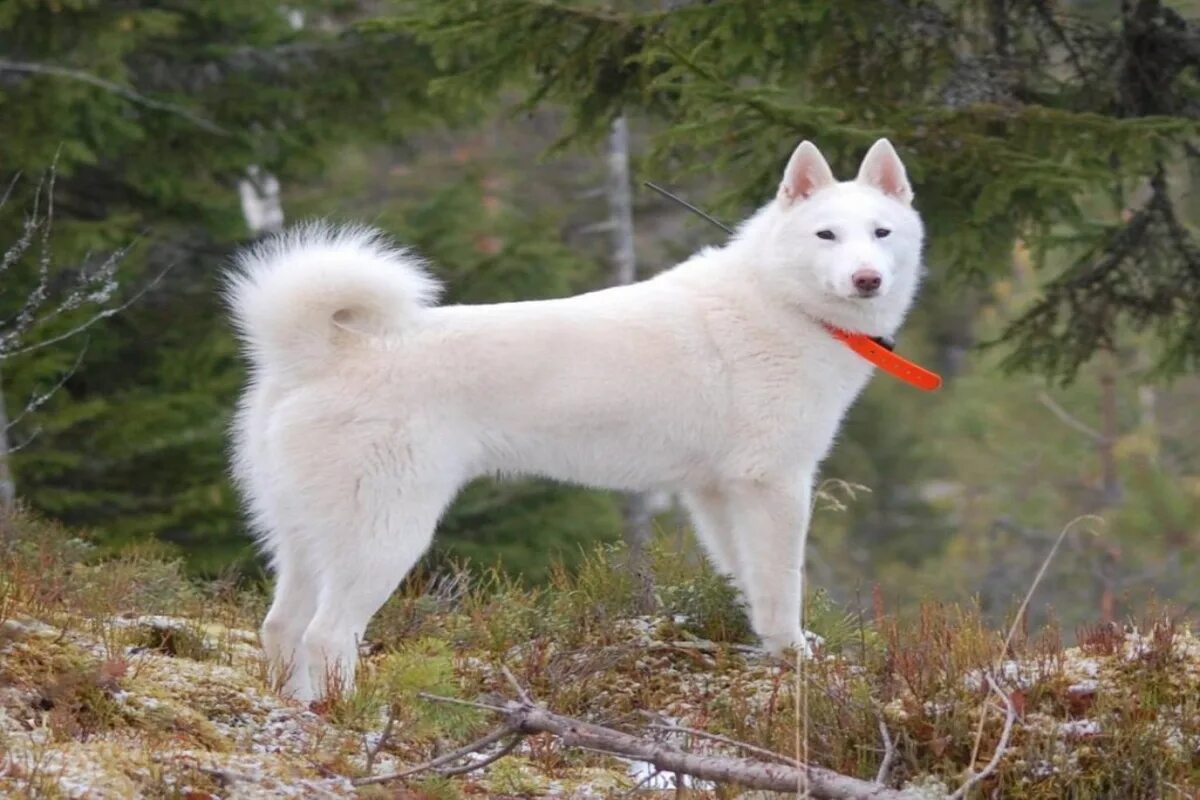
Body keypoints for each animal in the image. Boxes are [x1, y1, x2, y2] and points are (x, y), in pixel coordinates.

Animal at [229, 137, 931, 700]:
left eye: (881, 233)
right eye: (826, 235)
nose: (866, 279)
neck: (781, 303)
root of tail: (320, 353)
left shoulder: (717, 494)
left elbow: (748, 582)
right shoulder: (776, 485)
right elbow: (783, 587)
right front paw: (799, 660)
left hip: (304, 539)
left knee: (281, 628)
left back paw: (301, 712)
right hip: (385, 538)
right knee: (327, 636)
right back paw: (354, 716)